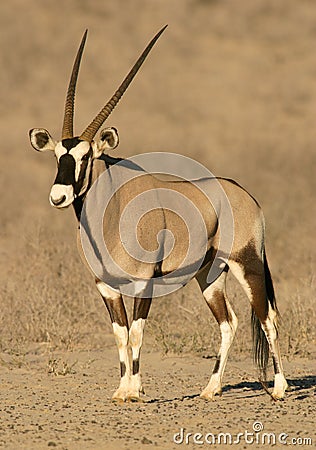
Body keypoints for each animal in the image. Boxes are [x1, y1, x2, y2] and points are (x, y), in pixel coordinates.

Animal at [28, 26, 288, 402]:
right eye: (57, 155)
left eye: (86, 156)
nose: (59, 196)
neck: (110, 211)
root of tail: (245, 194)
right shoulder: (106, 285)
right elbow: (120, 334)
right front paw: (122, 389)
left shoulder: (144, 281)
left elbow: (137, 332)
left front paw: (134, 391)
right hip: (209, 275)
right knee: (229, 322)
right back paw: (210, 388)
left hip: (247, 263)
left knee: (267, 317)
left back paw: (280, 388)